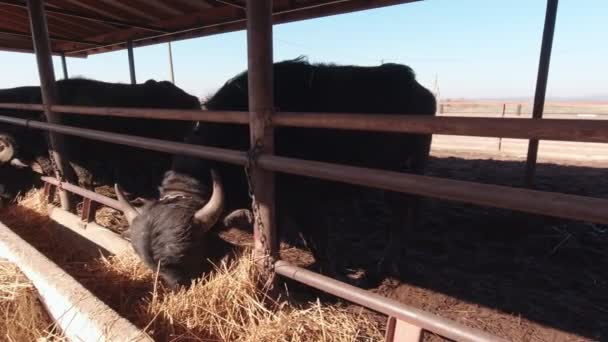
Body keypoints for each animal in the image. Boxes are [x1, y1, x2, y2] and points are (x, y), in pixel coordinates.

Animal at [115, 58, 436, 288]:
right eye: (148, 262)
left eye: (184, 255)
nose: (174, 287)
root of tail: (419, 88)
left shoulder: (304, 199)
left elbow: (318, 240)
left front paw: (331, 275)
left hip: (407, 172)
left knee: (401, 216)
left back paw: (387, 266)